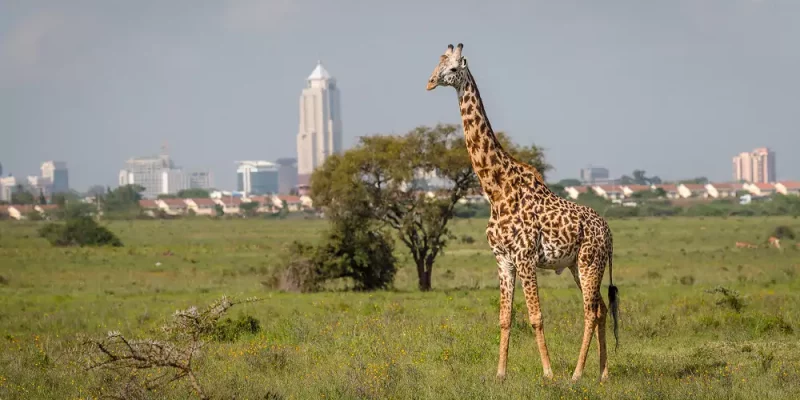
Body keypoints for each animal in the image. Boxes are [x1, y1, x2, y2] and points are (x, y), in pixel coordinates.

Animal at [424, 43, 620, 382]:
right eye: (438, 64)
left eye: (453, 68)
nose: (431, 82)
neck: (496, 189)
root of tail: (608, 232)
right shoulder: (503, 259)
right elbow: (505, 317)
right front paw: (500, 374)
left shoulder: (525, 257)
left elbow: (536, 316)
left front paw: (548, 373)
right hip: (576, 265)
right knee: (601, 309)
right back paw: (603, 373)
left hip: (589, 261)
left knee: (590, 312)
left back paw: (576, 374)